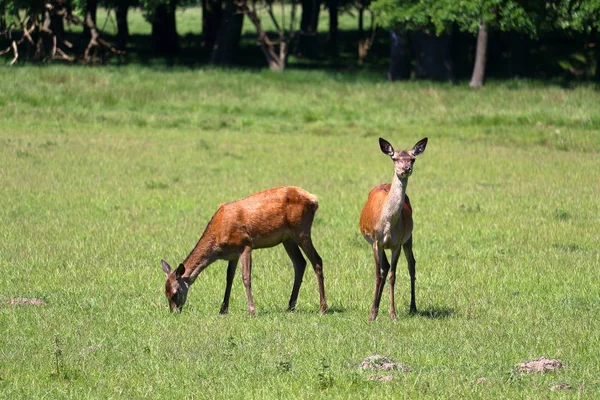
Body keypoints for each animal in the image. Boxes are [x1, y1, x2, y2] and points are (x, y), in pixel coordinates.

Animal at [159, 187, 328, 316]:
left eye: (175, 293)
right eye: (165, 293)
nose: (174, 313)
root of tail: (314, 199)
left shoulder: (245, 244)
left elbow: (246, 277)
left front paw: (252, 311)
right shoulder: (232, 254)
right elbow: (229, 279)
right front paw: (223, 310)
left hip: (301, 229)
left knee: (317, 260)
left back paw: (322, 308)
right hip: (288, 239)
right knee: (300, 263)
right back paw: (290, 307)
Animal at [360, 138, 426, 322]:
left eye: (412, 159)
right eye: (394, 158)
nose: (405, 169)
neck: (388, 223)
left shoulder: (397, 243)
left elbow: (392, 276)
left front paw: (393, 314)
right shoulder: (376, 241)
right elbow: (378, 274)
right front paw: (372, 314)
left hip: (409, 238)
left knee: (411, 264)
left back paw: (413, 307)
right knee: (385, 267)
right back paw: (376, 307)